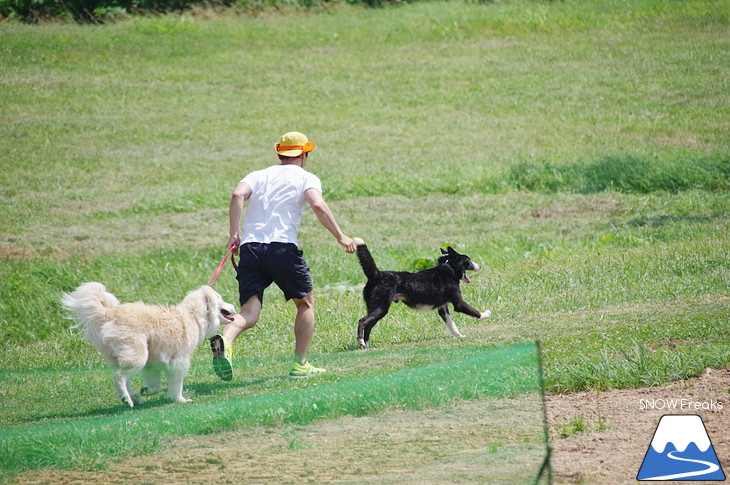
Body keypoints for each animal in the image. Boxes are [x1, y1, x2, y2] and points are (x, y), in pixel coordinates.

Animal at [62, 282, 235, 406]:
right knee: (119, 376)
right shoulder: (179, 362)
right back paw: (127, 399)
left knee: (121, 377)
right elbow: (176, 384)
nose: (234, 305)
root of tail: (108, 314)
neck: (194, 315)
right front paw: (180, 399)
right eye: (221, 299)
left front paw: (146, 391)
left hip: (124, 357)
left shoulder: (152, 364)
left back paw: (134, 397)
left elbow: (156, 386)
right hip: (138, 356)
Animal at [352, 238, 490, 348]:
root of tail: (377, 275)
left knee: (368, 326)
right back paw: (360, 340)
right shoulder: (459, 303)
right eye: (468, 260)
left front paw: (459, 336)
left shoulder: (443, 309)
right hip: (381, 307)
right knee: (362, 321)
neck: (449, 268)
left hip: (376, 308)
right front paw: (486, 314)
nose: (480, 266)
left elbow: (451, 324)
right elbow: (474, 311)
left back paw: (366, 345)